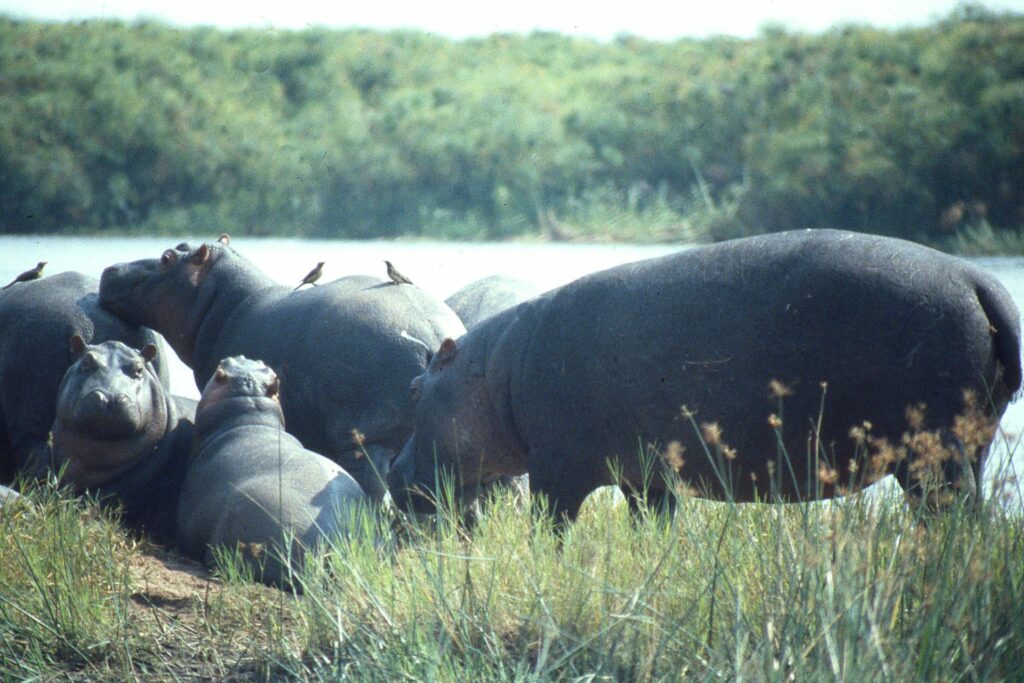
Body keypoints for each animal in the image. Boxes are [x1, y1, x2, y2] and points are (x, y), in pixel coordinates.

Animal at [98, 239, 466, 500]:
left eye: (166, 258)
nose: (110, 268)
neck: (228, 301)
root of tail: (435, 333)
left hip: (367, 441)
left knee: (378, 491)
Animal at [389, 229, 1022, 523]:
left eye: (416, 389)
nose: (392, 470)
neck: (490, 374)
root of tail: (980, 281)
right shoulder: (646, 480)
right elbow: (651, 526)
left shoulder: (555, 471)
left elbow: (551, 528)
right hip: (971, 447)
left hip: (932, 455)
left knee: (951, 513)